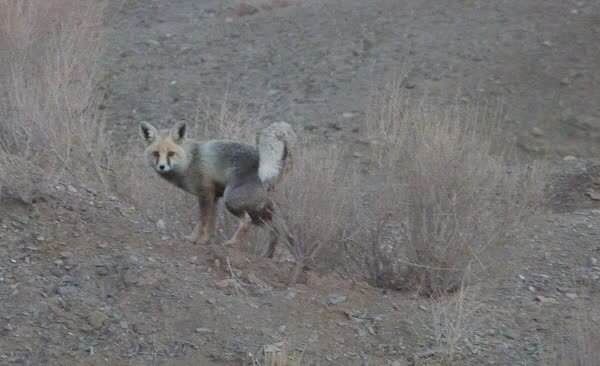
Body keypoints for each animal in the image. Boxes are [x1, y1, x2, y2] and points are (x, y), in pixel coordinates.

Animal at [137, 120, 296, 258]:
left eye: (170, 153)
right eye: (156, 153)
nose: (162, 167)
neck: (189, 161)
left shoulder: (205, 194)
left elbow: (202, 222)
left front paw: (195, 239)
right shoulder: (214, 197)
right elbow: (211, 224)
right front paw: (206, 241)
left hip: (233, 202)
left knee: (247, 222)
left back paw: (231, 243)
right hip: (259, 211)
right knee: (278, 230)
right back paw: (269, 255)